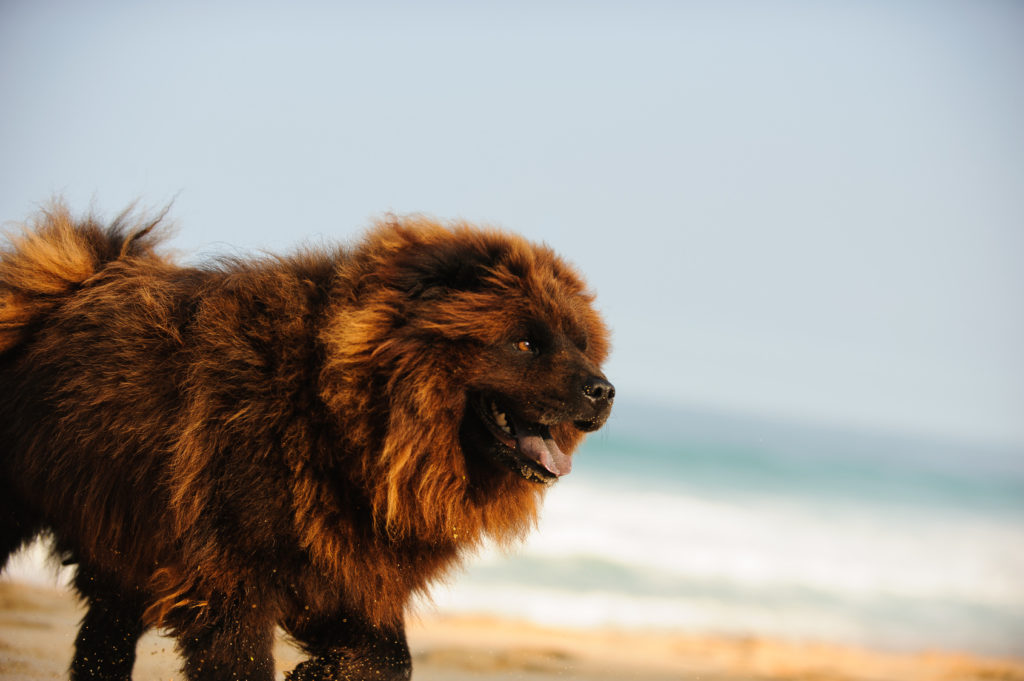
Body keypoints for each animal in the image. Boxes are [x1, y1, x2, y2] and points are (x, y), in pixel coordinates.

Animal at [0, 202, 606, 679]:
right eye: (525, 343)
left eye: (579, 344)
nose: (605, 390)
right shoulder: (230, 581)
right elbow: (247, 663)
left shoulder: (348, 573)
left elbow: (391, 660)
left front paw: (315, 672)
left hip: (121, 546)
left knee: (103, 643)